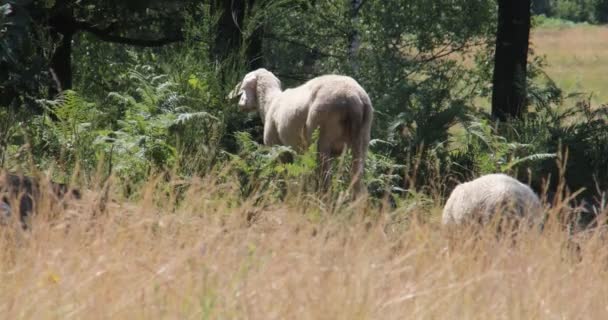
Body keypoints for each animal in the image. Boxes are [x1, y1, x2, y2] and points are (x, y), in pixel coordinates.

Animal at [234, 68, 372, 192]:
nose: (240, 105)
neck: (269, 102)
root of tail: (353, 97)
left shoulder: (278, 148)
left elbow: (284, 177)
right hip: (362, 138)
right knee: (357, 182)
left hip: (322, 137)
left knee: (324, 181)